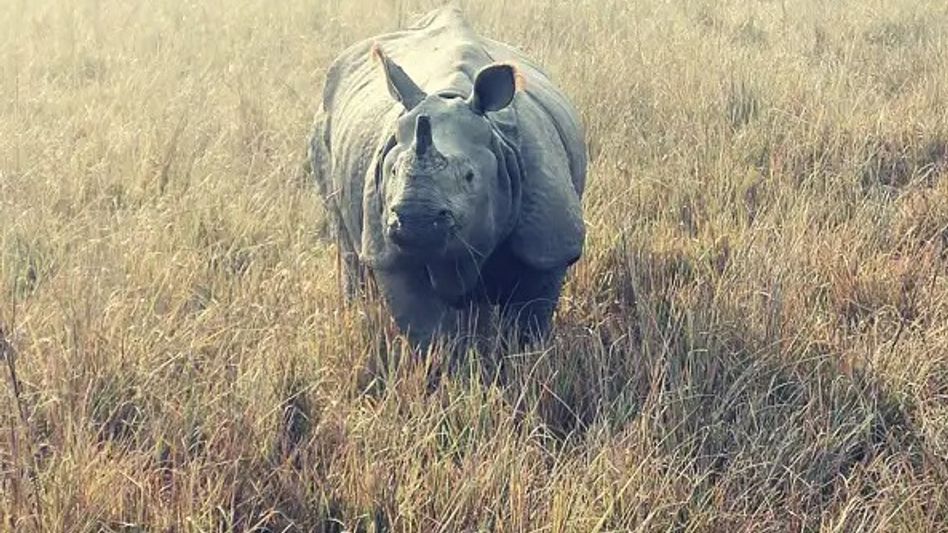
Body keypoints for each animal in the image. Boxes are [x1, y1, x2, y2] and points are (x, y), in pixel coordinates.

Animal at [307, 5, 587, 347]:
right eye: (393, 171)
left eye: (469, 176)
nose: (416, 219)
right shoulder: (387, 251)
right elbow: (426, 326)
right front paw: (446, 360)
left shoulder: (548, 243)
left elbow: (528, 319)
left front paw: (524, 356)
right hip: (323, 124)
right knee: (347, 246)